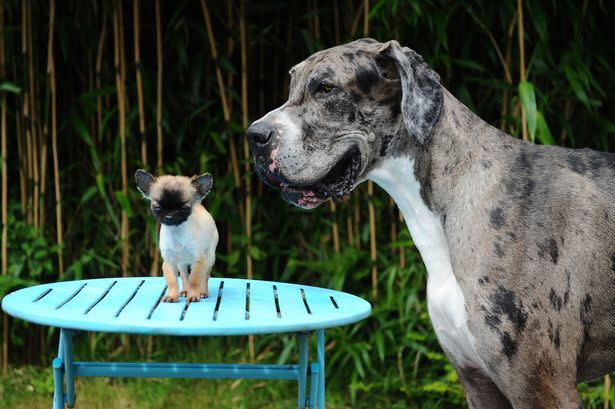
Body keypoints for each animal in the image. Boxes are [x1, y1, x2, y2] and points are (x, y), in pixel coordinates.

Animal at [137, 169, 219, 302]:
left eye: (184, 209)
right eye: (157, 207)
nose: (169, 216)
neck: (176, 232)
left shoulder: (199, 261)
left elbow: (195, 279)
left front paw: (194, 295)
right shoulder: (169, 261)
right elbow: (172, 281)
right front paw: (172, 295)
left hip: (209, 258)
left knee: (205, 276)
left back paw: (203, 292)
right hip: (181, 263)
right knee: (184, 275)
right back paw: (185, 290)